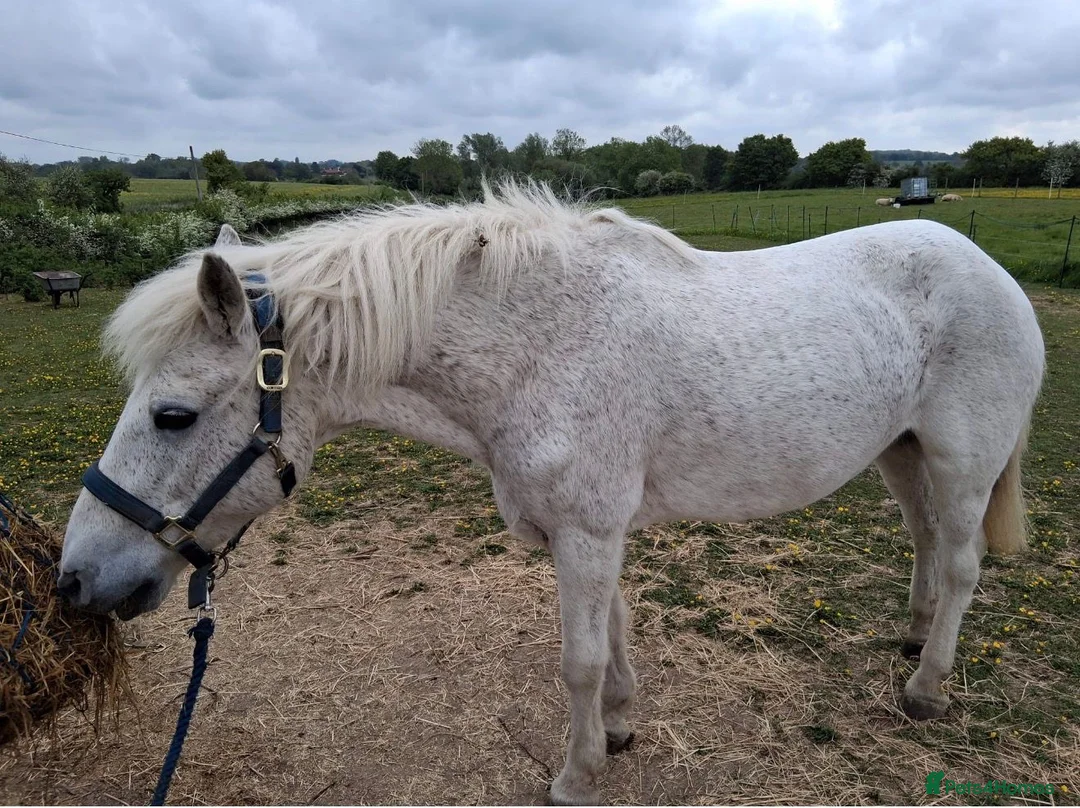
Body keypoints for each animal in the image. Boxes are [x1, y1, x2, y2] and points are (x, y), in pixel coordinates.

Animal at [59, 181, 1045, 805]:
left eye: (173, 416)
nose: (77, 582)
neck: (538, 346)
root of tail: (987, 267)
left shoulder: (588, 529)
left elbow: (578, 658)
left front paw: (576, 777)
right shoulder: (590, 530)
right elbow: (613, 637)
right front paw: (617, 728)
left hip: (961, 459)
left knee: (962, 563)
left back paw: (926, 685)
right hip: (902, 454)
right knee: (925, 542)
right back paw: (912, 634)